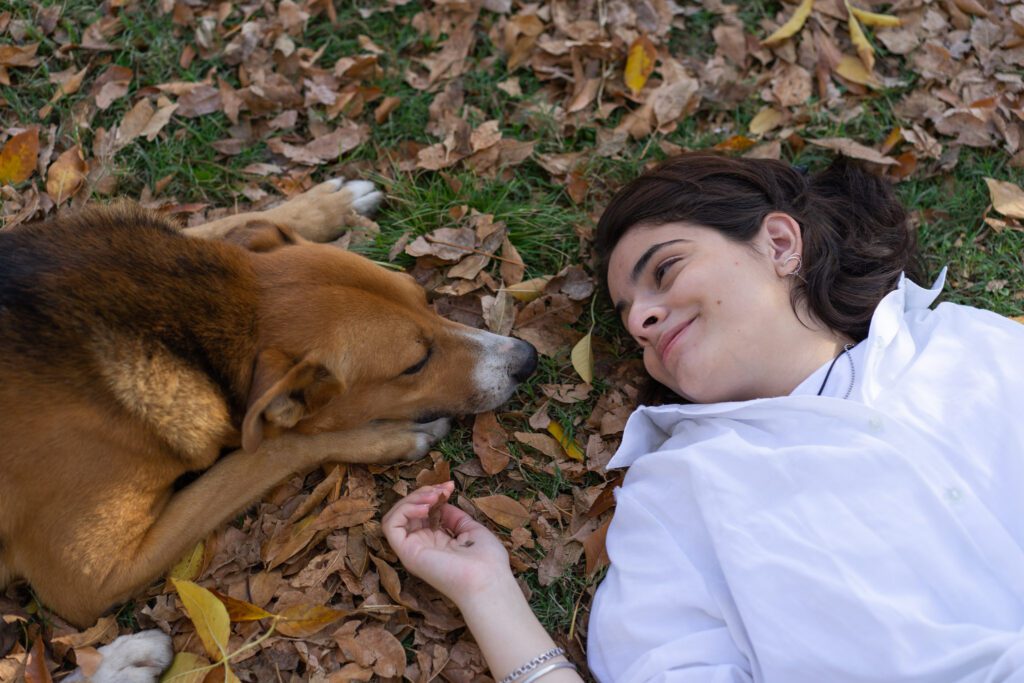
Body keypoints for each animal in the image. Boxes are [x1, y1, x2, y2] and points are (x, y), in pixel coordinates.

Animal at [0, 179, 540, 679]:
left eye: (424, 297)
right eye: (415, 364)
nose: (528, 358)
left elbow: (216, 225)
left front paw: (323, 205)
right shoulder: (90, 580)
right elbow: (269, 450)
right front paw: (391, 432)